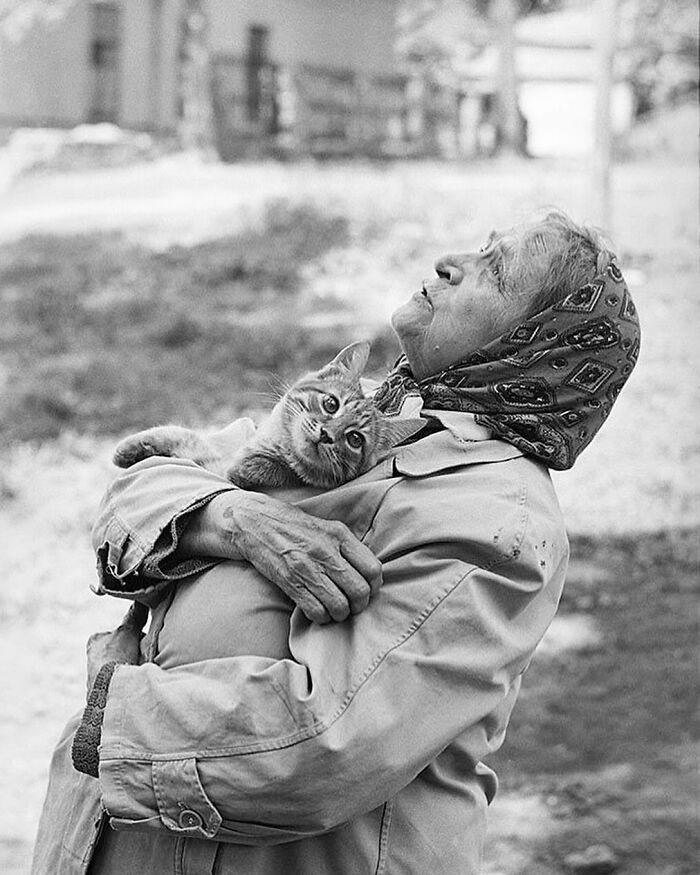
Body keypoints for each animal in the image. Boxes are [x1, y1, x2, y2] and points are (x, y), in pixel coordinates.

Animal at [112, 342, 424, 492]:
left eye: (355, 439)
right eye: (331, 404)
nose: (327, 434)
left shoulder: (221, 470)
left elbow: (196, 448)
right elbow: (185, 435)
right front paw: (131, 447)